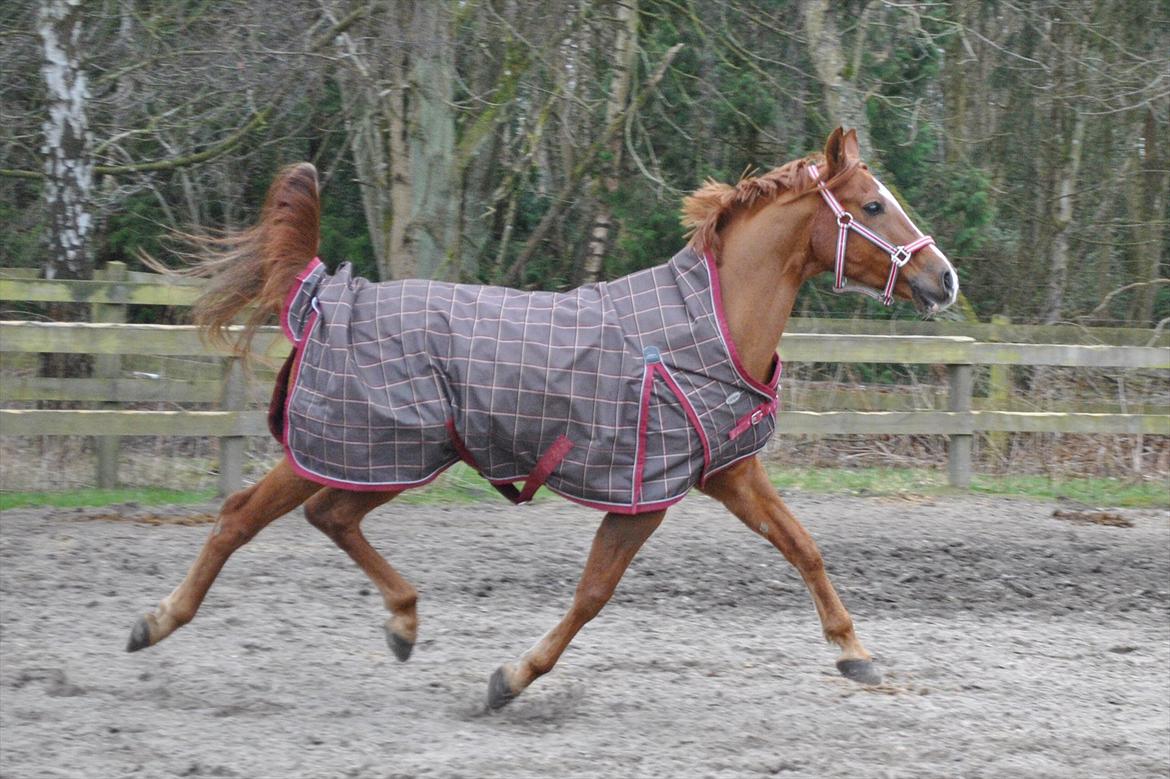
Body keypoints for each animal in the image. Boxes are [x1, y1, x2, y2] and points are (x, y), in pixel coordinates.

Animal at [125, 124, 959, 706]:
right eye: (873, 205)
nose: (944, 278)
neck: (703, 328)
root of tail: (328, 290)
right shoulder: (642, 493)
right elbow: (593, 592)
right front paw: (511, 677)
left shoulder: (727, 470)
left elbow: (802, 546)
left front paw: (855, 652)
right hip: (357, 446)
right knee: (243, 514)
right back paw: (154, 622)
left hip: (382, 457)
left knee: (329, 516)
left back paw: (403, 623)